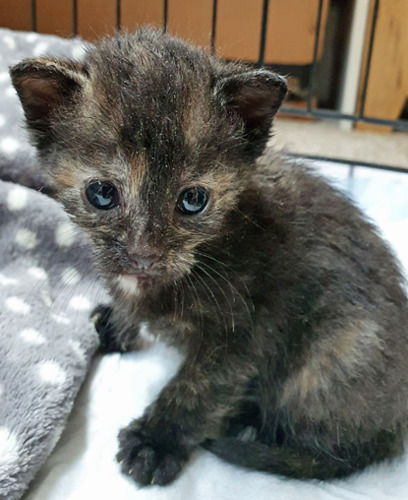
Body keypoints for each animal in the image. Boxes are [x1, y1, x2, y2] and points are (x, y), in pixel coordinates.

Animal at [8, 28, 408, 488]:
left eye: (193, 200)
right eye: (102, 193)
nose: (144, 255)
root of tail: (397, 425)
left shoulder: (248, 332)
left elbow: (198, 388)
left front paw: (155, 441)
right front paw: (118, 321)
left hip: (336, 350)